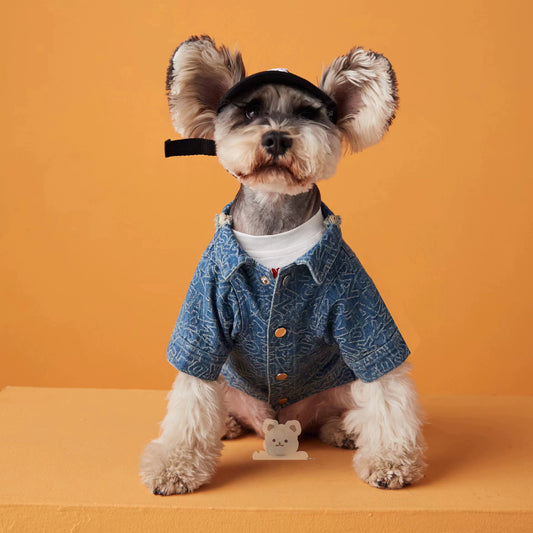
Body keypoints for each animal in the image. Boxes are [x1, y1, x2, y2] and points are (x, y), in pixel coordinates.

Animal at [139, 35, 426, 494]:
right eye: (249, 112)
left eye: (308, 114)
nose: (275, 138)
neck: (275, 237)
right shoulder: (203, 316)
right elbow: (192, 392)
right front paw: (174, 465)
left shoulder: (360, 311)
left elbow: (385, 384)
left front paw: (391, 460)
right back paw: (228, 425)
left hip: (339, 386)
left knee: (347, 408)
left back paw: (343, 429)